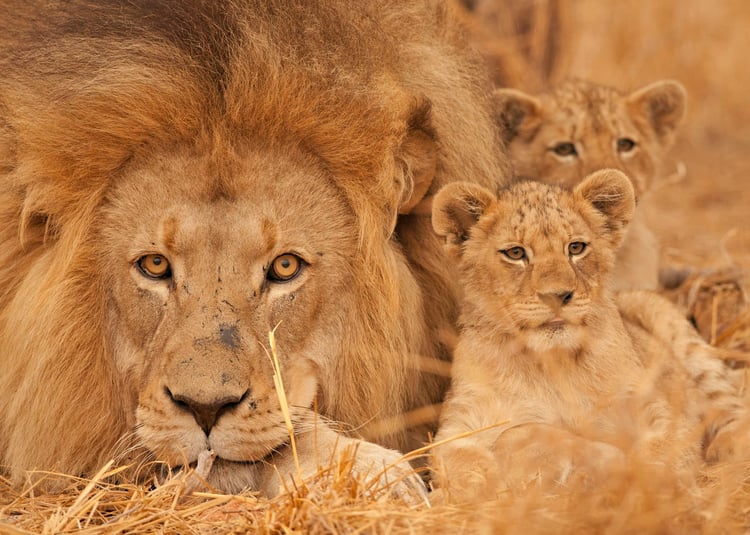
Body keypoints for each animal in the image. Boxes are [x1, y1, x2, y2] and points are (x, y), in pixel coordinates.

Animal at [429, 169, 749, 500]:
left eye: (576, 248)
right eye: (515, 253)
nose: (557, 296)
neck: (550, 363)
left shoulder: (654, 406)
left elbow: (664, 447)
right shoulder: (460, 424)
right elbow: (459, 459)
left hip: (666, 319)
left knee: (729, 403)